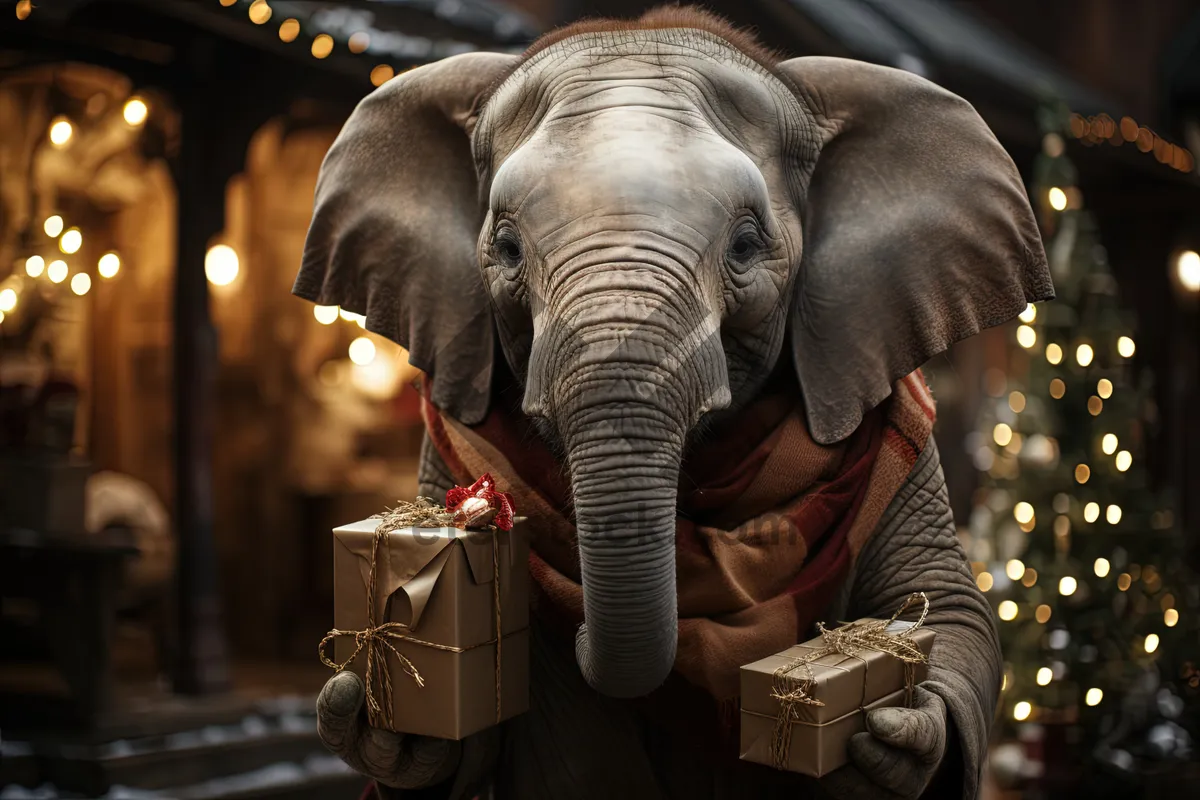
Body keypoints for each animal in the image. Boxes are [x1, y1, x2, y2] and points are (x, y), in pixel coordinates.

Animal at [292, 7, 1051, 800]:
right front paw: (387, 706)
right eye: (505, 249)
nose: (576, 626)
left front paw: (894, 727)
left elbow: (949, 600)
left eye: (745, 246)